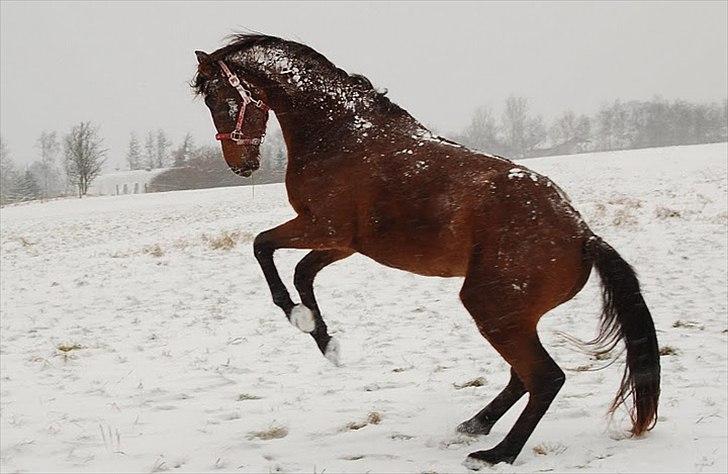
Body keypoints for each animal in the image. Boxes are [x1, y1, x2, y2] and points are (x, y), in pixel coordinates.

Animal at [192, 34, 660, 466]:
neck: (342, 135)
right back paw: (476, 425)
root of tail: (583, 235)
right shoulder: (343, 243)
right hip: (513, 316)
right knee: (522, 377)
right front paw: (324, 340)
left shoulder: (323, 228)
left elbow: (263, 247)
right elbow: (301, 272)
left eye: (221, 98)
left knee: (545, 379)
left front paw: (300, 319)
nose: (241, 166)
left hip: (493, 309)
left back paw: (496, 453)